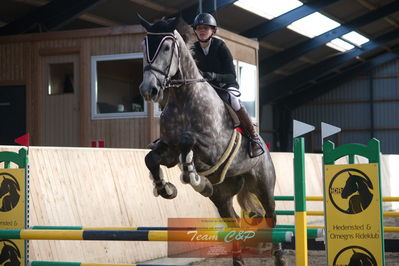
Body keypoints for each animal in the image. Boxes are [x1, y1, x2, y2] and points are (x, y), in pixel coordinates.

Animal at [139, 16, 286, 266]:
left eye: (167, 47)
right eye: (144, 46)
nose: (149, 89)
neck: (184, 98)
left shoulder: (213, 149)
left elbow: (188, 140)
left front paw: (191, 172)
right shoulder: (168, 151)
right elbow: (151, 159)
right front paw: (166, 189)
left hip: (263, 184)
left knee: (271, 216)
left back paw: (279, 259)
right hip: (222, 196)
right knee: (234, 220)